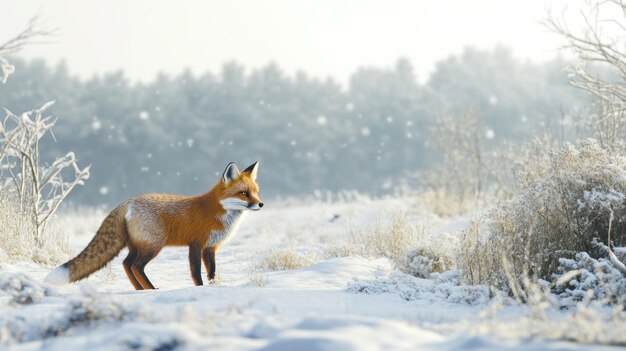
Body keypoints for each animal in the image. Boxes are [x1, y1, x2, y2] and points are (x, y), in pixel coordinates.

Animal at [44, 162, 260, 292]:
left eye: (256, 192)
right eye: (243, 193)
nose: (261, 204)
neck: (217, 211)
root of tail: (128, 202)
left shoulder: (210, 247)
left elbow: (212, 271)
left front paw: (214, 286)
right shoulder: (196, 244)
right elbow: (196, 272)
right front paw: (199, 288)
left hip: (137, 245)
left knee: (126, 264)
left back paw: (140, 290)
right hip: (153, 245)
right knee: (136, 266)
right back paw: (150, 288)